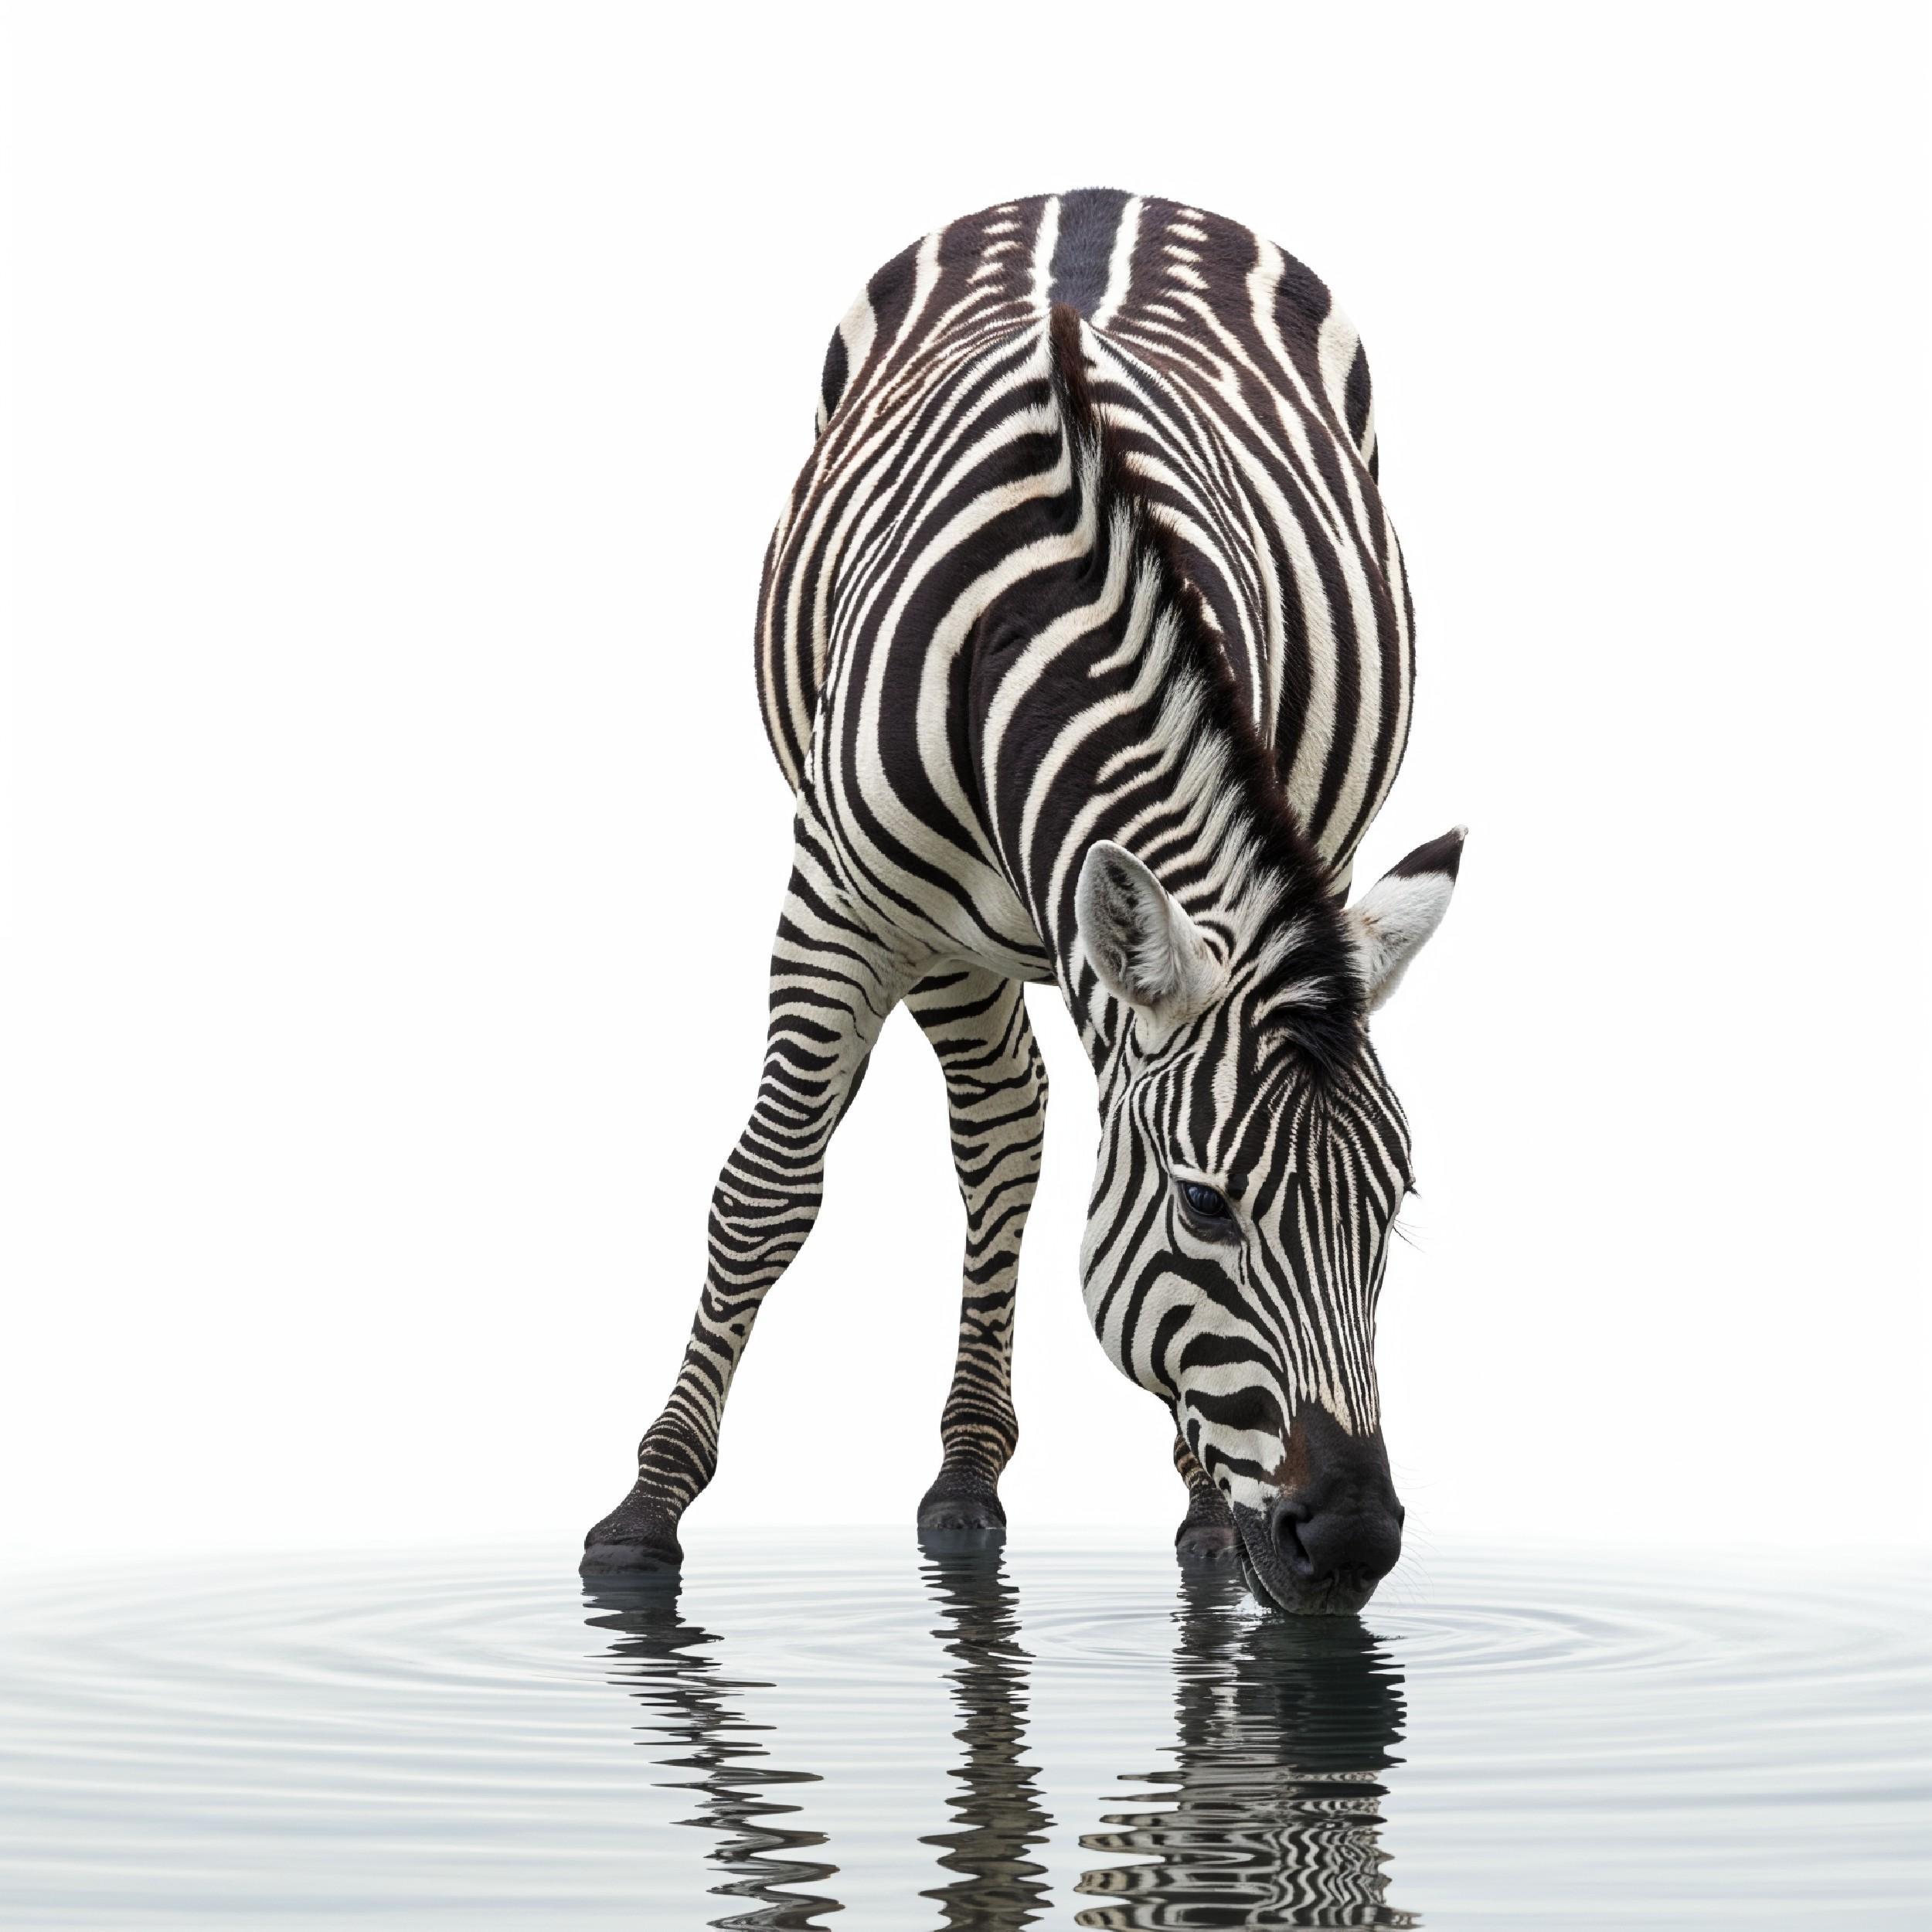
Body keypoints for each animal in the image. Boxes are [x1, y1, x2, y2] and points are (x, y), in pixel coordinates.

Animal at [582, 189, 1464, 1614]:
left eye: (1391, 1209)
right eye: (1206, 1207)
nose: (1350, 1544)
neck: (1055, 630)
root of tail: (1102, 193)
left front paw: (1207, 1510)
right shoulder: (840, 898)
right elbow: (767, 1188)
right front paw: (647, 1509)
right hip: (951, 935)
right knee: (1001, 1129)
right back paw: (964, 1475)